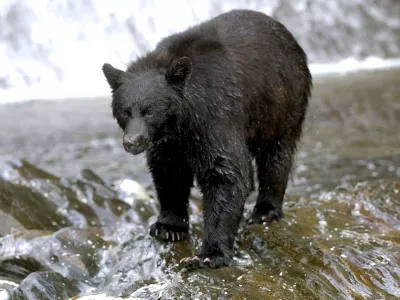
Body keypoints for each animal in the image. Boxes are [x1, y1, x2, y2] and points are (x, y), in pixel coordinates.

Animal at [101, 9, 310, 268]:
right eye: (124, 111)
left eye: (150, 111)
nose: (132, 141)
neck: (181, 124)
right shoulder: (168, 143)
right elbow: (169, 173)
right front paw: (168, 226)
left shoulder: (215, 116)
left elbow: (226, 173)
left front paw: (211, 253)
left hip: (283, 103)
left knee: (276, 154)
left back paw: (265, 210)